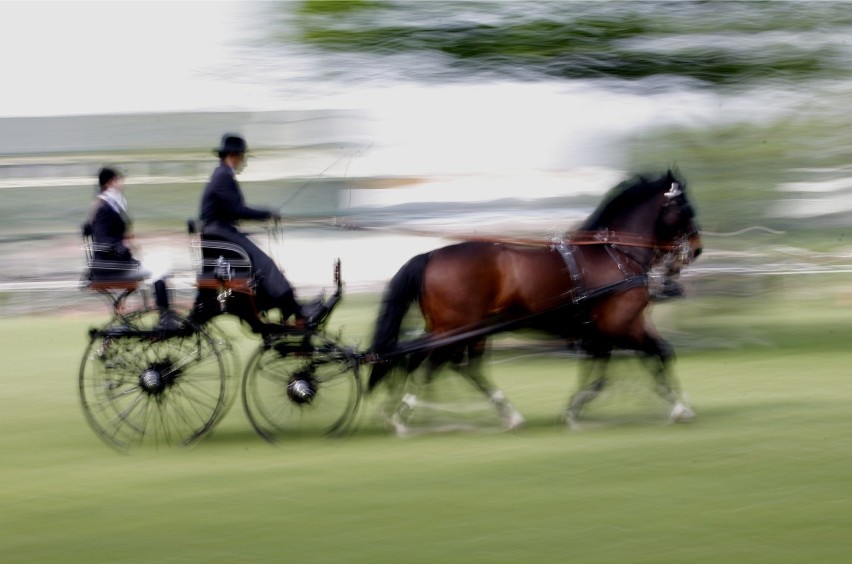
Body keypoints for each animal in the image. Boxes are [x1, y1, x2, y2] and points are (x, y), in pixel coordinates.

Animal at [370, 170, 704, 434]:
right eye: (686, 208)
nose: (697, 249)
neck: (615, 254)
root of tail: (430, 256)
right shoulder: (621, 325)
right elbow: (659, 353)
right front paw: (680, 408)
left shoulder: (607, 331)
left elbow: (609, 370)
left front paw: (573, 409)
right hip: (455, 328)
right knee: (428, 361)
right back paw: (403, 415)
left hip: (464, 328)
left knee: (457, 365)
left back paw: (506, 414)